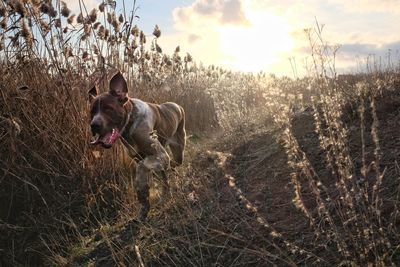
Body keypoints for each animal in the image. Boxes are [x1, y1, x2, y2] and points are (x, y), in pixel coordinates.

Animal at [88, 70, 185, 220]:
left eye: (108, 109)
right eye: (92, 112)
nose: (94, 125)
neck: (129, 123)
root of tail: (177, 105)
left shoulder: (160, 155)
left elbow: (142, 168)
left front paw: (142, 188)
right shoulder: (139, 158)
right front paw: (144, 209)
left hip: (178, 149)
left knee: (173, 164)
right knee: (165, 174)